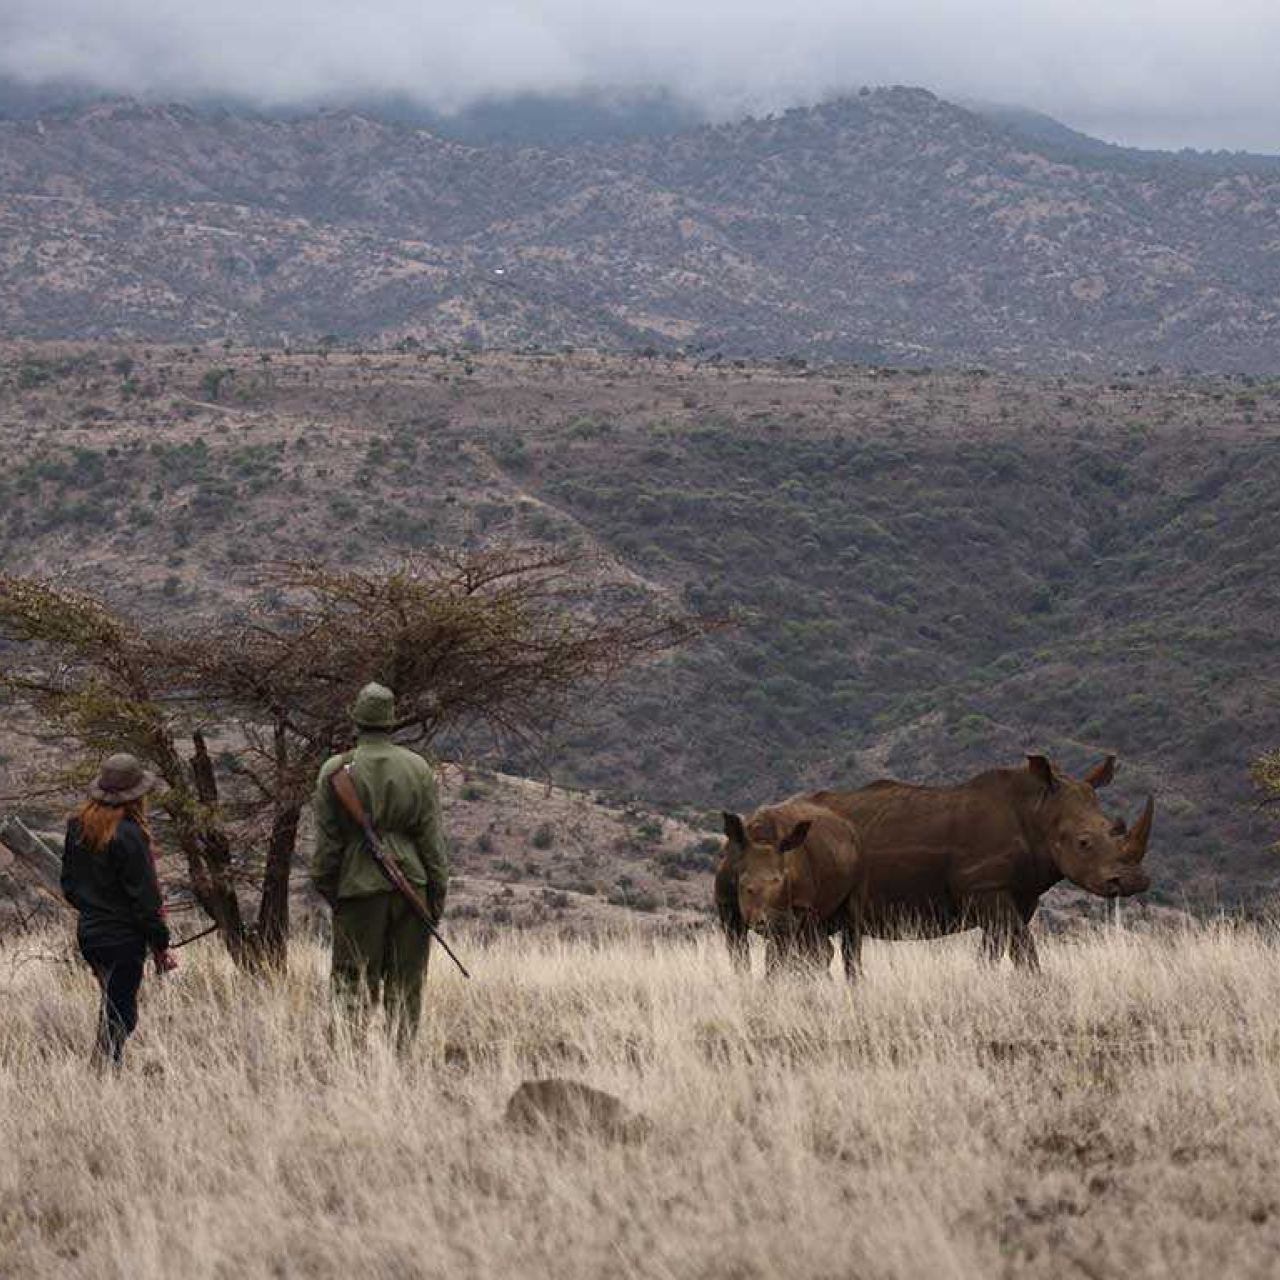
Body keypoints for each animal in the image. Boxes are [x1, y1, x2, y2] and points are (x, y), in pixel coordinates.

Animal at [715, 799, 865, 976]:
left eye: (781, 881)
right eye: (744, 885)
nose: (761, 921)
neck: (761, 841)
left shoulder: (796, 906)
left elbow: (785, 952)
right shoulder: (726, 903)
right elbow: (738, 953)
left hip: (858, 857)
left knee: (848, 926)